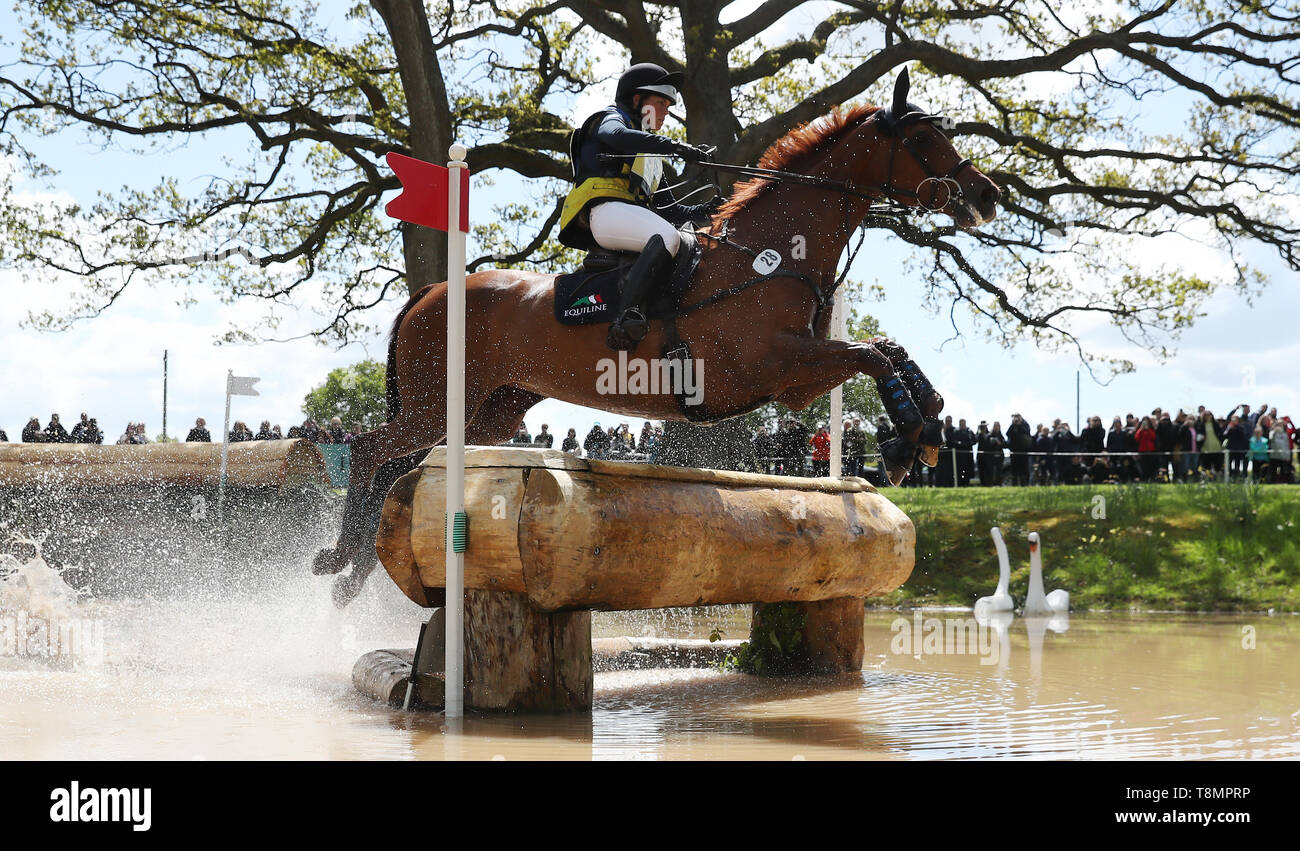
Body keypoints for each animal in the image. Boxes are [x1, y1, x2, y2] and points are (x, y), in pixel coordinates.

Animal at [317, 71, 1003, 605]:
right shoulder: (775, 367)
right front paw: (906, 440)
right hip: (440, 400)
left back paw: (356, 567)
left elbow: (888, 349)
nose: (986, 195)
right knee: (373, 450)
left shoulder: (797, 381)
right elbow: (871, 353)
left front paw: (925, 424)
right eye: (923, 139)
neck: (771, 258)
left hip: (490, 410)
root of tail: (430, 292)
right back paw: (339, 560)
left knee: (404, 465)